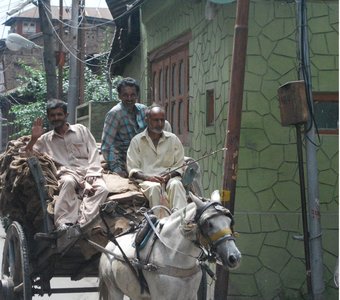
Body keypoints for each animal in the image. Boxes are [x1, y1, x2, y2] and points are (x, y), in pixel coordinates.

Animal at [98, 192, 242, 300]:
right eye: (208, 223)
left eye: (230, 221)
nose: (234, 257)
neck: (174, 255)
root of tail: (109, 245)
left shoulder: (191, 295)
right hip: (114, 289)